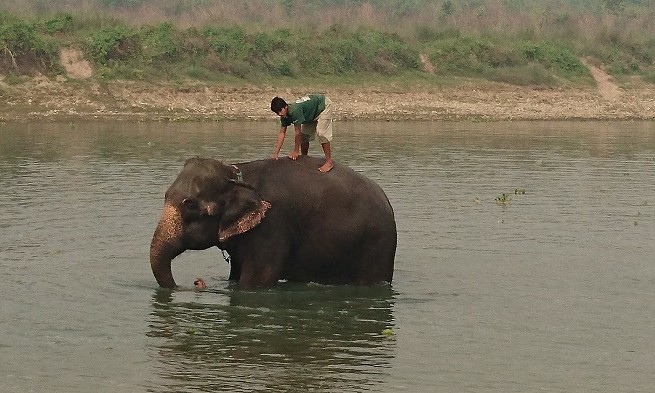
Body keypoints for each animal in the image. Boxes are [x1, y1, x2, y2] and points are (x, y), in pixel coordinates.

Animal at [151, 155, 398, 288]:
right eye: (165, 196)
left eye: (191, 206)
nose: (197, 282)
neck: (236, 175)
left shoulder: (272, 226)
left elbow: (258, 279)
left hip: (377, 245)